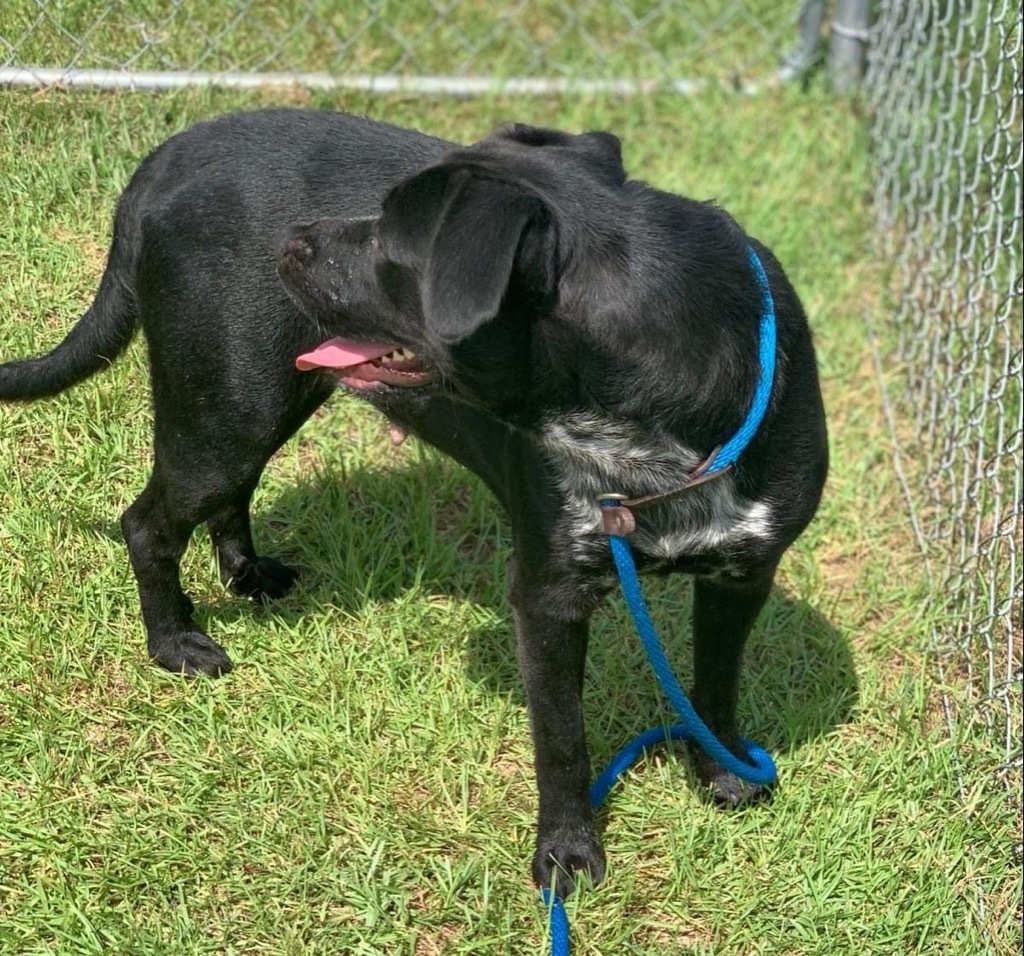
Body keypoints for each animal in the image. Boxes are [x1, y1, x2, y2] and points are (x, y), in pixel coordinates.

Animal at [0, 112, 823, 896]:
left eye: (390, 239)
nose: (294, 241)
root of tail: (169, 155)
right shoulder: (550, 596)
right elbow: (562, 740)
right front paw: (566, 854)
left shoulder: (742, 575)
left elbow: (716, 683)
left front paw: (722, 773)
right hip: (225, 408)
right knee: (148, 524)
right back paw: (174, 644)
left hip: (259, 402)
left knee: (229, 495)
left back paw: (247, 575)